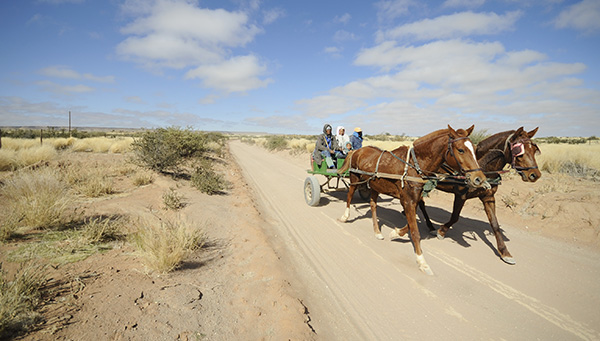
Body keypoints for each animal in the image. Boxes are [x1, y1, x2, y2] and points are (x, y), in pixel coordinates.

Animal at [338, 125, 488, 274]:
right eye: (461, 150)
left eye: (475, 149)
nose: (479, 179)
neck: (414, 166)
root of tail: (356, 150)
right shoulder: (408, 201)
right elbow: (415, 232)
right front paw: (422, 261)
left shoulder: (413, 200)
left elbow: (410, 225)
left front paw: (396, 233)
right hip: (354, 178)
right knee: (349, 196)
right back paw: (345, 217)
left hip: (375, 186)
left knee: (373, 205)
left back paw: (377, 232)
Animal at [418, 127, 544, 262]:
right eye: (518, 151)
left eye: (534, 149)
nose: (535, 175)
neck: (482, 167)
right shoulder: (461, 196)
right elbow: (455, 217)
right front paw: (441, 231)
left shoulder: (489, 198)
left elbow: (494, 224)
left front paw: (504, 252)